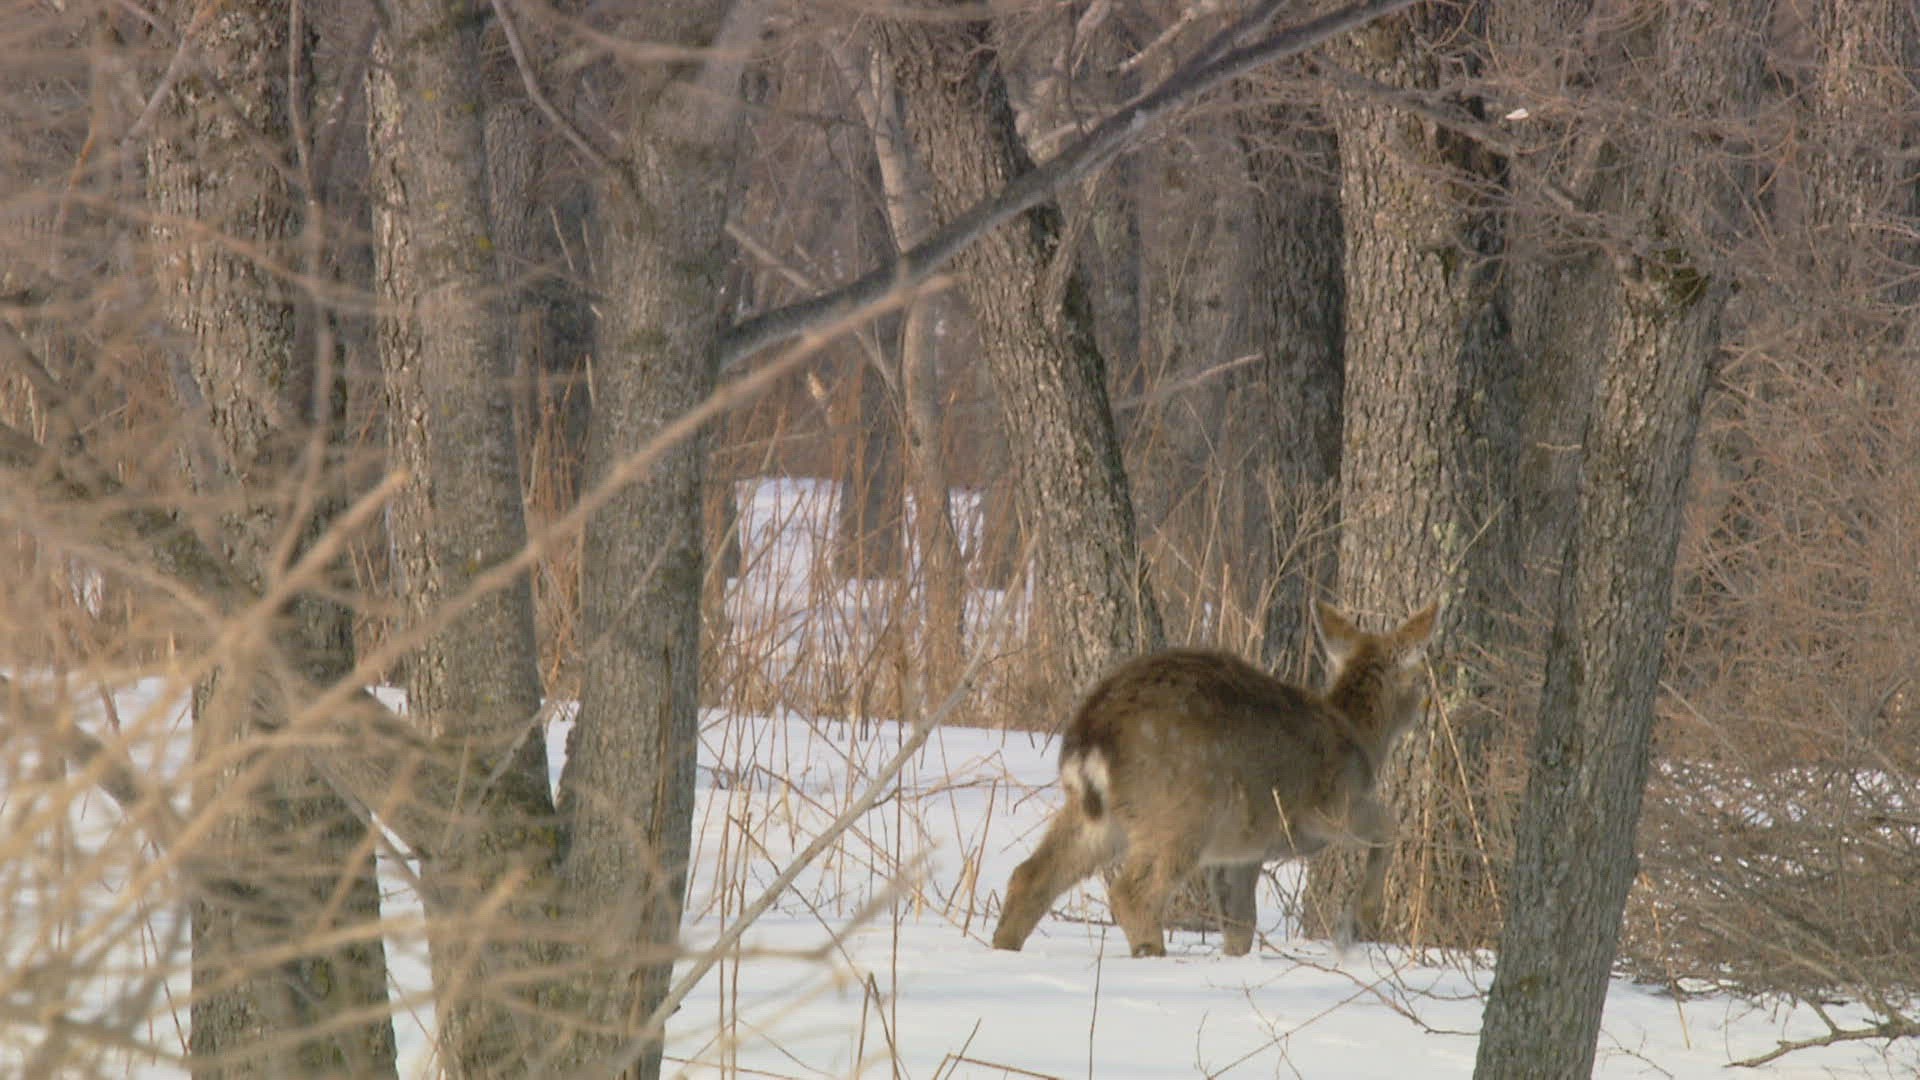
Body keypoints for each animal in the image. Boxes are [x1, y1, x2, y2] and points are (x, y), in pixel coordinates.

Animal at [990, 601, 1437, 957]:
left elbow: (1240, 925)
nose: (1428, 703)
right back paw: (1152, 952)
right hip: (1183, 810)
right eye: (1420, 674)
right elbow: (1390, 826)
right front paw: (1358, 920)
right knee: (1132, 893)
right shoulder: (1329, 807)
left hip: (1099, 816)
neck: (1361, 739)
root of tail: (1091, 734)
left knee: (1029, 874)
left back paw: (1003, 948)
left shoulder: (1240, 852)